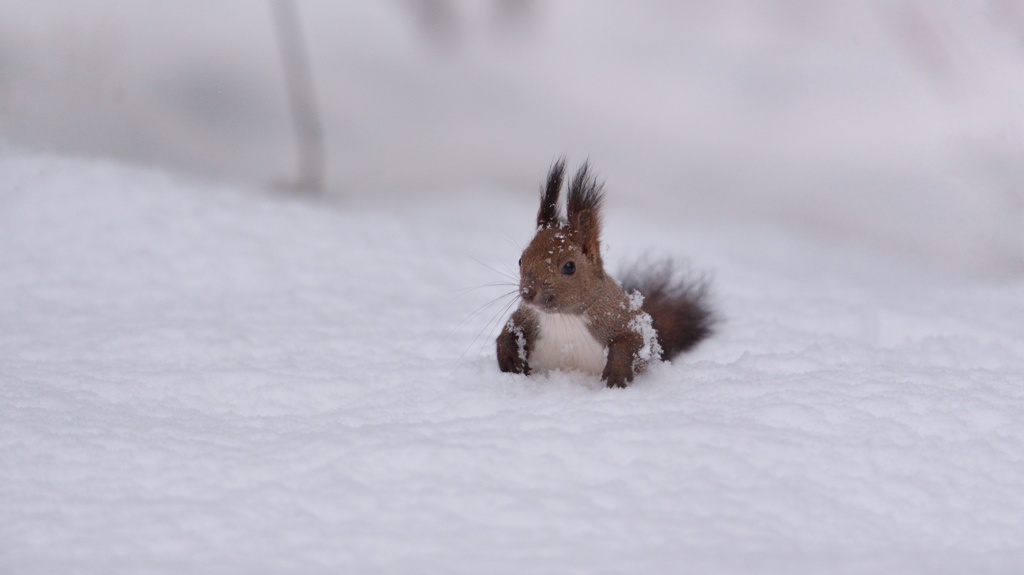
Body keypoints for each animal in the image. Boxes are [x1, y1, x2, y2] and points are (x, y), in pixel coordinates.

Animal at [495, 158, 712, 386]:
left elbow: (631, 341)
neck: (563, 317)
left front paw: (616, 375)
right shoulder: (527, 316)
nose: (527, 292)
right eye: (521, 259)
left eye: (569, 266)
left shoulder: (625, 319)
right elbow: (508, 330)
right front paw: (509, 358)